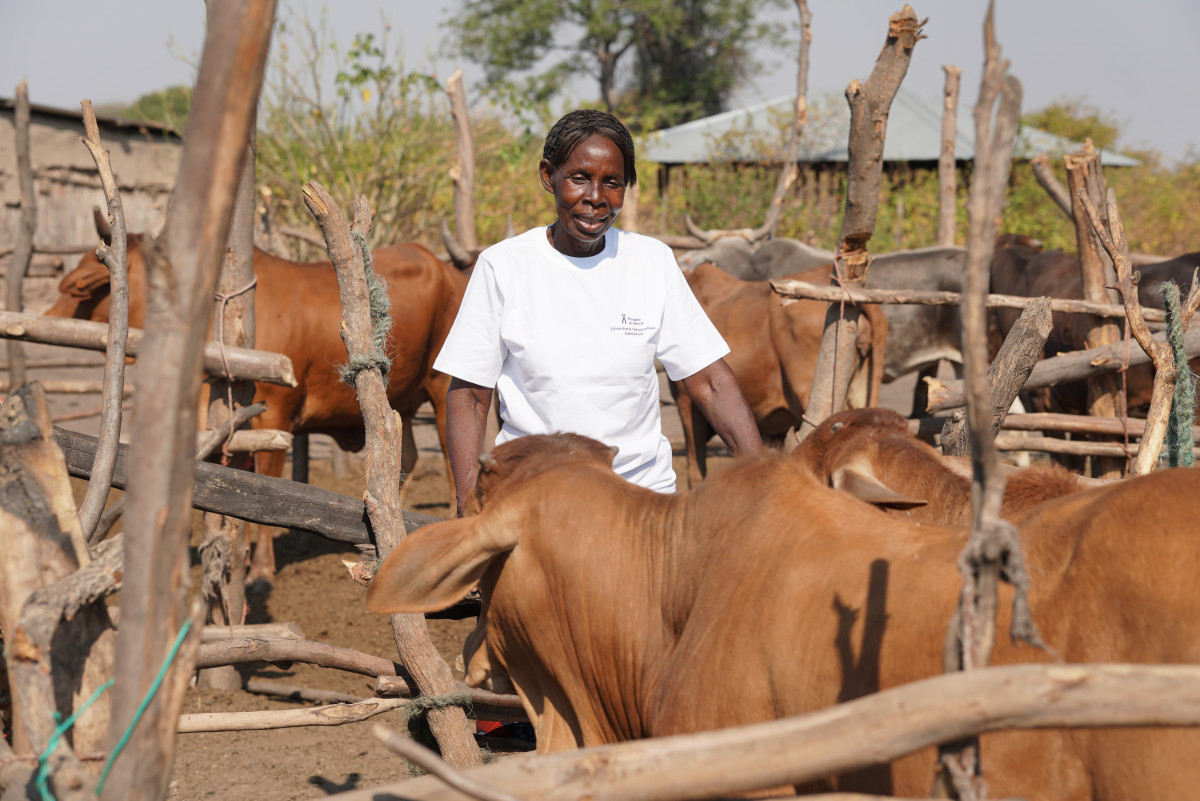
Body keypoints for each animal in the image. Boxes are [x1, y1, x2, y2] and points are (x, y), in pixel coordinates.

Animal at [43, 231, 463, 582]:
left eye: (79, 288)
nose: (46, 318)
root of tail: (446, 268)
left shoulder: (275, 420)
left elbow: (268, 496)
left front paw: (260, 570)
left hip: (445, 389)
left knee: (451, 458)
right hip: (402, 402)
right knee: (404, 459)